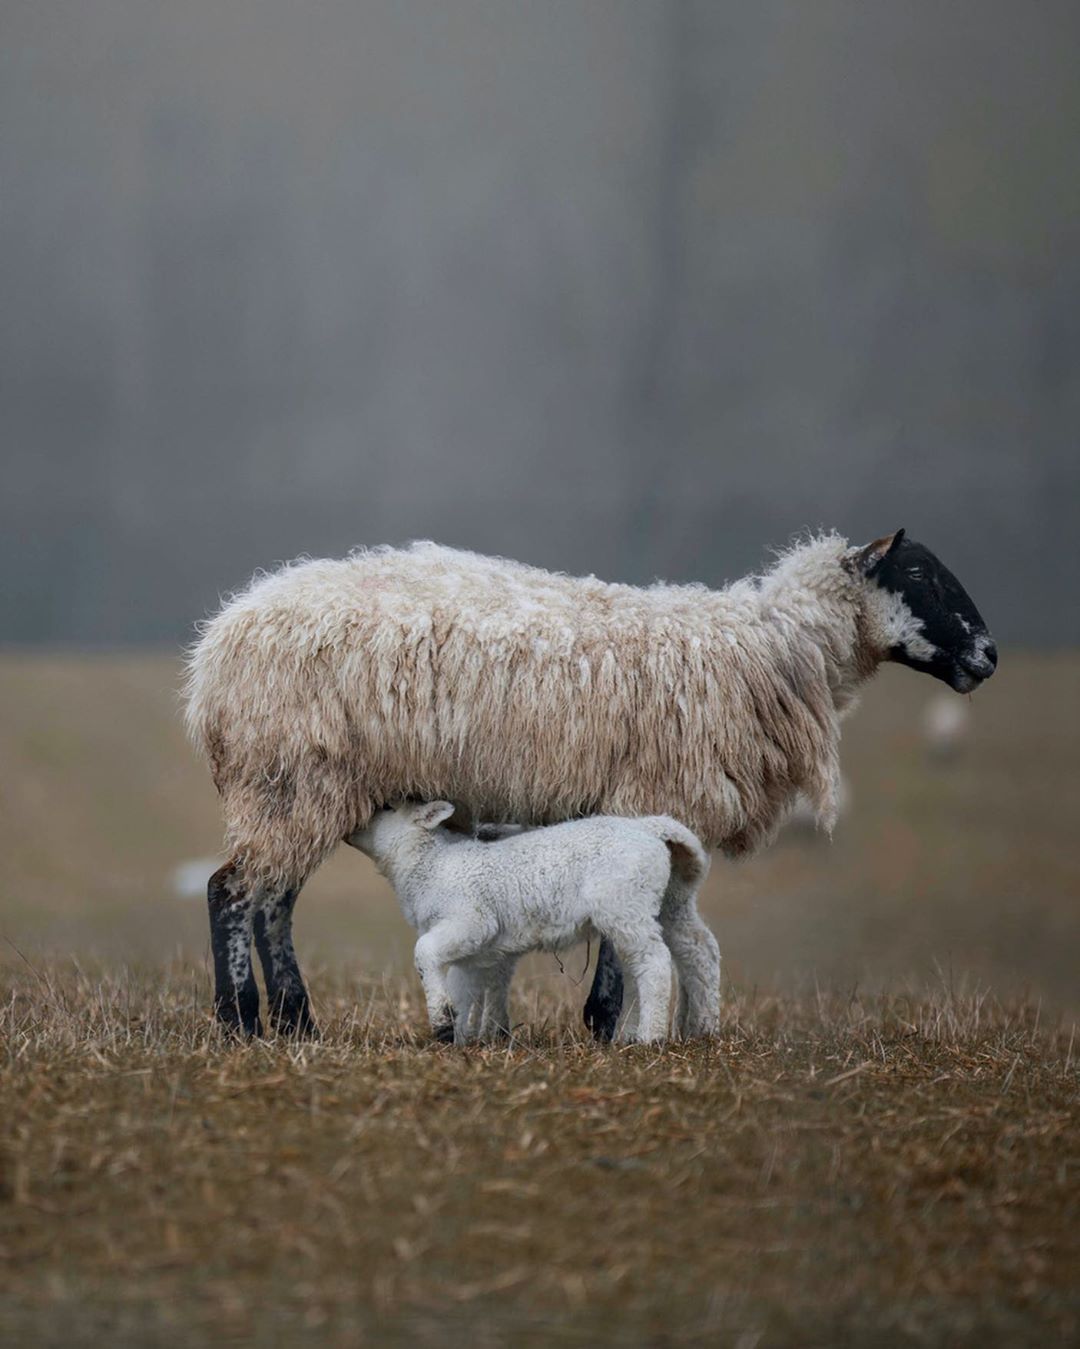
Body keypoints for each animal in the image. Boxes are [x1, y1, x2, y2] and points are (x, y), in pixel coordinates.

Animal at [345, 798, 717, 1041]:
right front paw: (458, 1035)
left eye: (388, 808)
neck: (429, 863)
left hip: (625, 904)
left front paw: (441, 1021)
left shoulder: (471, 919)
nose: (351, 827)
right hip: (668, 900)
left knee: (653, 962)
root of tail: (648, 827)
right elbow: (463, 987)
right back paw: (695, 1028)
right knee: (694, 948)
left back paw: (650, 1037)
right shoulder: (470, 948)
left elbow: (424, 952)